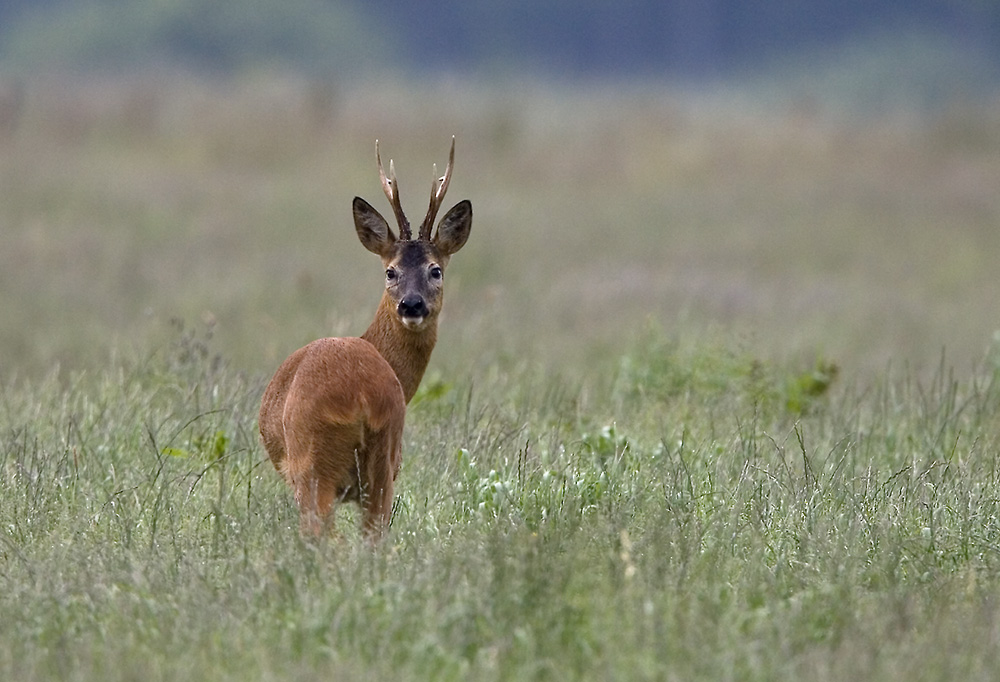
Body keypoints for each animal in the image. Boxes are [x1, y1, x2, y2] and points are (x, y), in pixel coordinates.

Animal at [260, 138, 474, 540]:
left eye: (435, 270)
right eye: (391, 271)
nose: (411, 304)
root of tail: (360, 397)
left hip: (311, 463)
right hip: (383, 461)